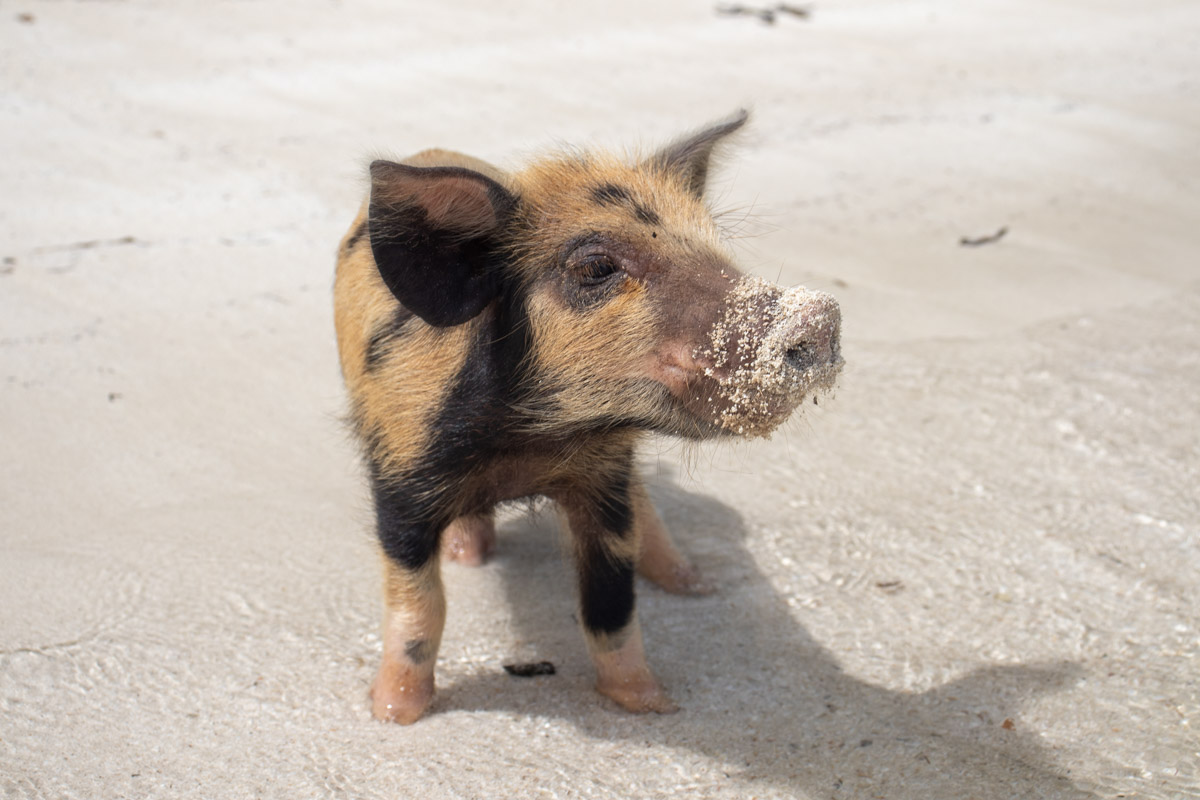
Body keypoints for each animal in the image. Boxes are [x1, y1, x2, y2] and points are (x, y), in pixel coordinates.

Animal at [333, 110, 842, 724]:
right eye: (597, 266)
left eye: (713, 244)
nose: (816, 314)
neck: (529, 447)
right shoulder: (400, 479)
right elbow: (418, 609)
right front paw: (394, 714)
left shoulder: (603, 480)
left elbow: (611, 604)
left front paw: (650, 705)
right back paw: (471, 558)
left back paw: (696, 587)